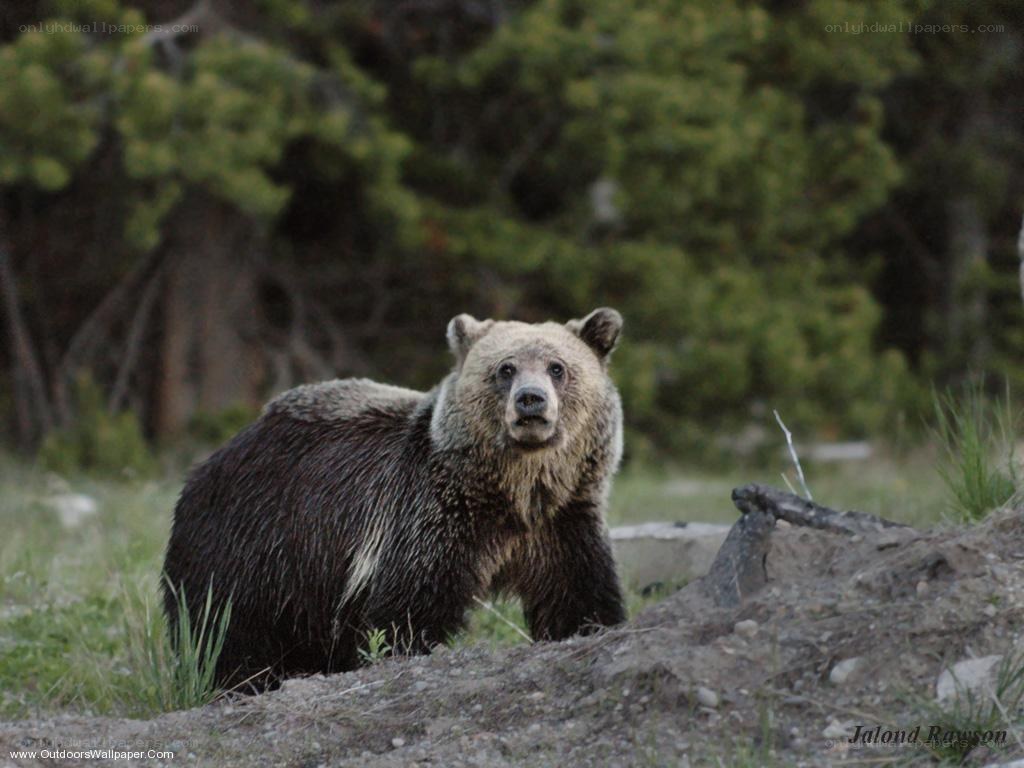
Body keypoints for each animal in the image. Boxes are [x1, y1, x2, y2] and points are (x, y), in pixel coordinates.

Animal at [162, 308, 627, 689]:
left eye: (557, 367)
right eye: (505, 368)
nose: (531, 401)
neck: (512, 495)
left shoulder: (562, 521)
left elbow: (579, 594)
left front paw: (591, 627)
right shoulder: (429, 516)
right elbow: (406, 607)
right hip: (251, 542)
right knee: (223, 626)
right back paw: (242, 679)